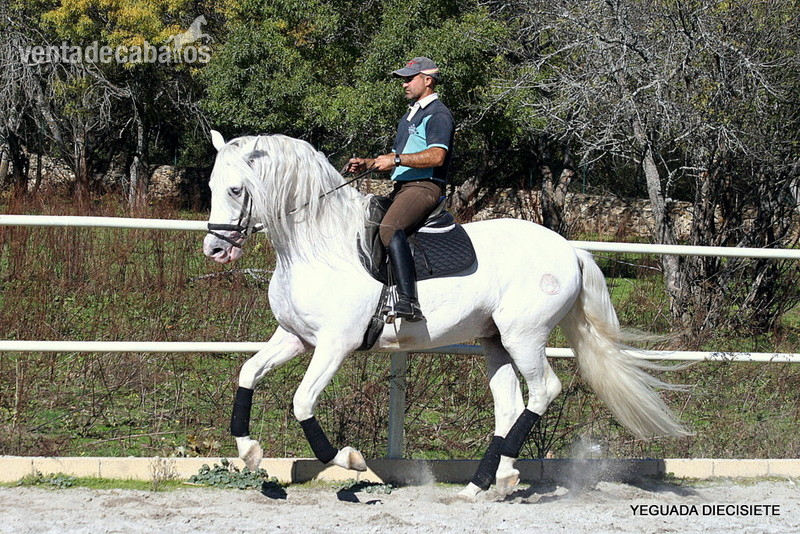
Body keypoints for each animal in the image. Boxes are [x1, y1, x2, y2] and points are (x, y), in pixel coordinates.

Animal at [202, 130, 690, 499]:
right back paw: (487, 483)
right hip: (494, 340)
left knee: (542, 391)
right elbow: (247, 373)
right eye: (210, 188)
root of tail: (569, 249)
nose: (215, 250)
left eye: (235, 189)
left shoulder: (334, 344)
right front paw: (248, 450)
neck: (318, 248)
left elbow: (303, 401)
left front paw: (348, 459)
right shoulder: (294, 337)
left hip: (524, 336)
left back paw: (498, 476)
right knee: (510, 405)